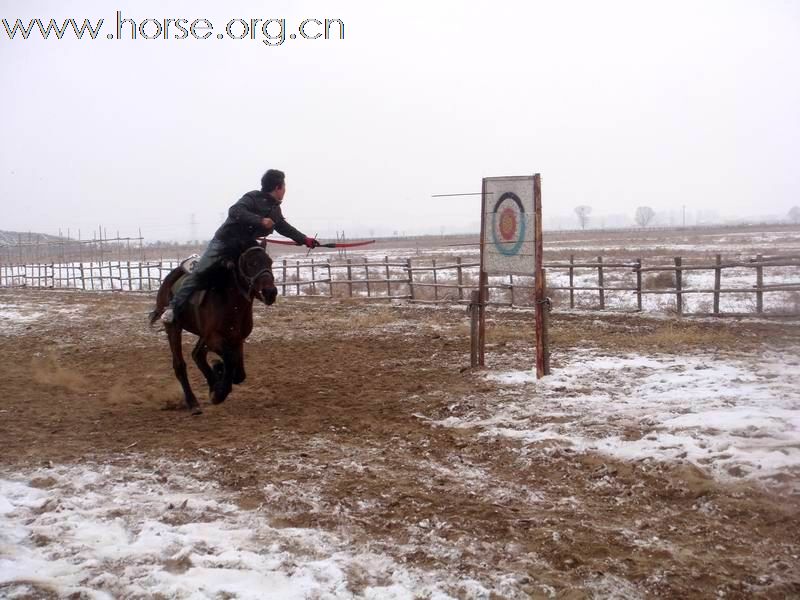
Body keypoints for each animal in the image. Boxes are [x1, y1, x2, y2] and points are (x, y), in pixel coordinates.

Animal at [150, 246, 278, 414]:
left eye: (270, 262)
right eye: (251, 264)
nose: (270, 292)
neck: (231, 301)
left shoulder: (237, 339)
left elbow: (239, 372)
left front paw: (217, 377)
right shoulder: (214, 338)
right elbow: (230, 359)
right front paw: (219, 391)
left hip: (203, 335)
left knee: (197, 354)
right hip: (174, 329)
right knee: (180, 364)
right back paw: (193, 402)